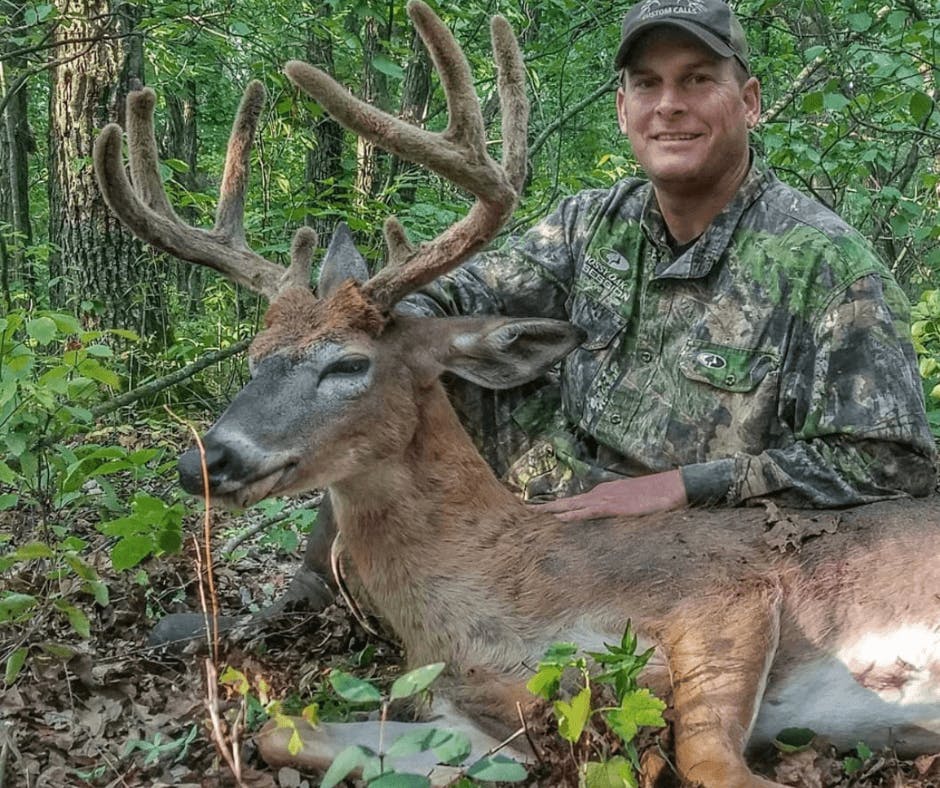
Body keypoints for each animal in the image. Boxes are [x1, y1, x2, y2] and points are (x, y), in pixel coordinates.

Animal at [93, 3, 940, 786]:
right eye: (257, 357)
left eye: (348, 364)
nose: (205, 461)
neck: (495, 584)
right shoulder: (464, 713)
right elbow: (285, 732)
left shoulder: (723, 591)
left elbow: (708, 759)